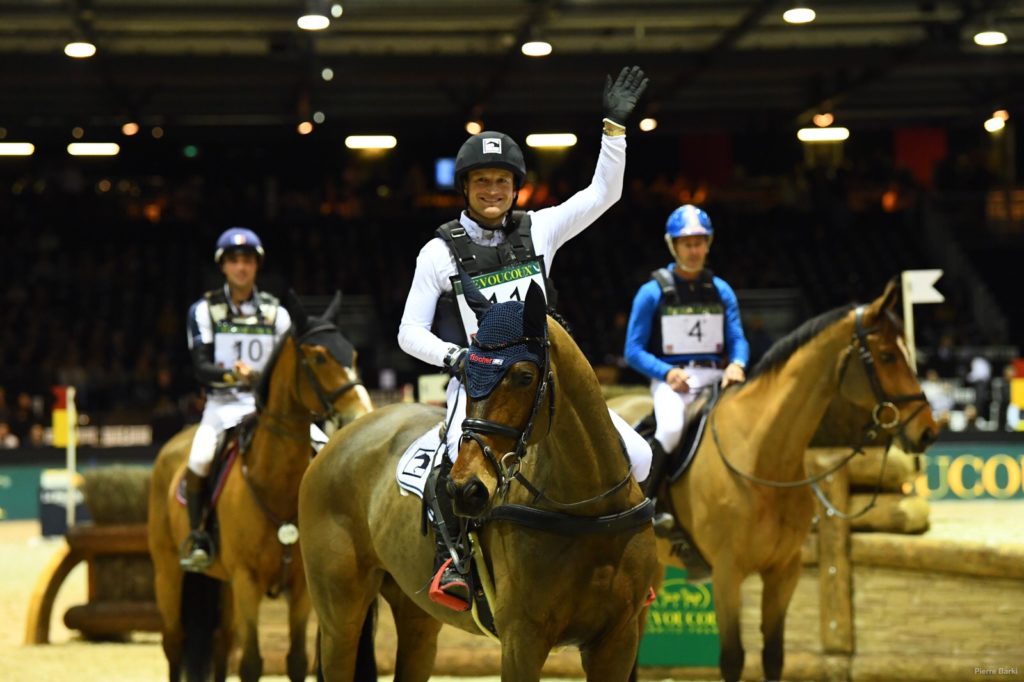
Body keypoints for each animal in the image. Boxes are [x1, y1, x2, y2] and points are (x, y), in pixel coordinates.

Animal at [148, 290, 376, 679]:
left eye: (354, 355)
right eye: (318, 357)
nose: (359, 416)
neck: (275, 482)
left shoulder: (300, 589)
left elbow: (297, 659)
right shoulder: (247, 582)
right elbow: (252, 662)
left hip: (222, 584)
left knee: (222, 641)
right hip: (168, 572)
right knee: (174, 643)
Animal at [299, 278, 659, 675]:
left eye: (524, 376)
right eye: (465, 373)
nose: (465, 490)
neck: (589, 510)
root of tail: (338, 439)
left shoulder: (617, 641)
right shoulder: (522, 641)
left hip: (416, 614)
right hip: (341, 615)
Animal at [606, 278, 937, 679]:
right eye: (887, 356)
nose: (928, 431)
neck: (761, 459)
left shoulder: (783, 570)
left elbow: (774, 655)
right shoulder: (727, 573)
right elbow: (733, 658)